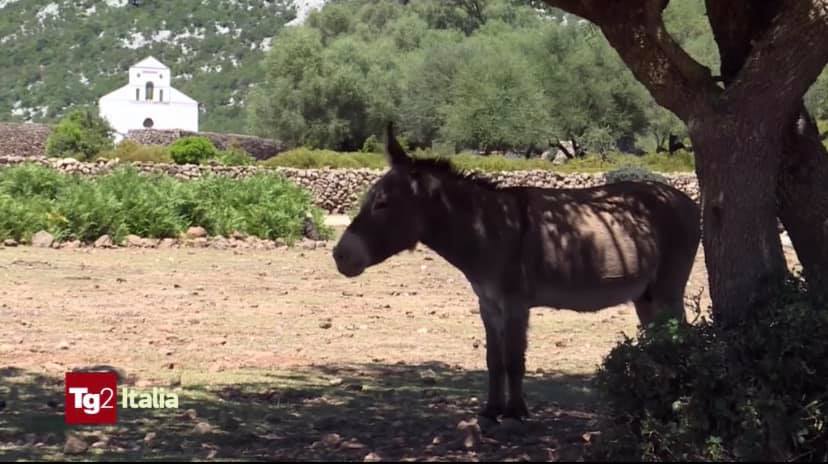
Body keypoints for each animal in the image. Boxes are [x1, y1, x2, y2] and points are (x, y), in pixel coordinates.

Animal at [332, 123, 701, 421]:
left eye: (382, 203)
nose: (339, 256)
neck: (487, 228)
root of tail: (687, 200)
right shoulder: (488, 304)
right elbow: (493, 360)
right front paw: (491, 411)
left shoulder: (515, 303)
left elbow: (513, 359)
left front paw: (515, 413)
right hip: (645, 296)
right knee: (660, 340)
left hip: (668, 289)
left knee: (679, 337)